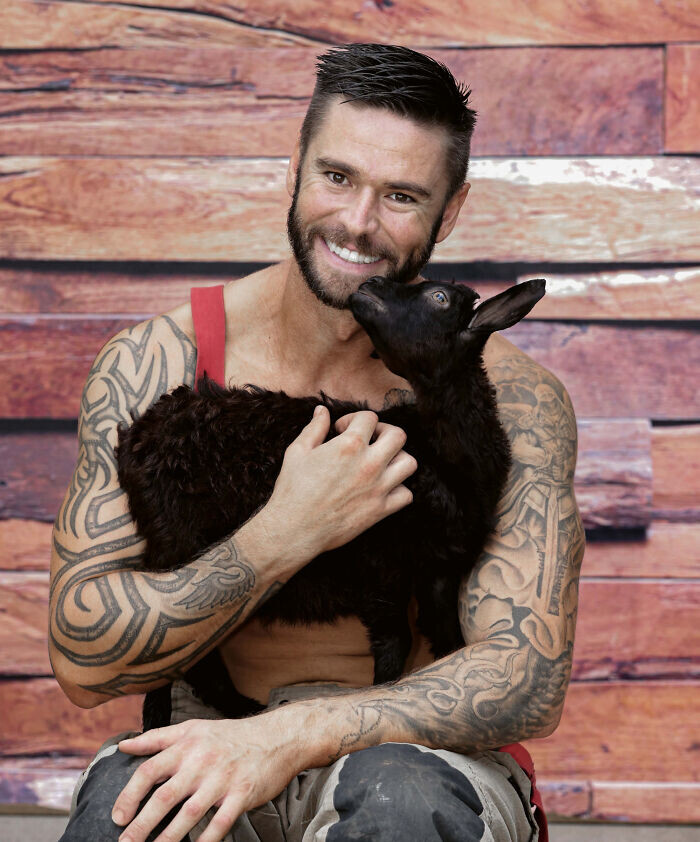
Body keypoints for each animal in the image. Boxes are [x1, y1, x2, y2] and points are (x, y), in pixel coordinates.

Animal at [115, 276, 546, 729]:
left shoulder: (439, 570)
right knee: (182, 655)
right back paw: (228, 711)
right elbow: (396, 641)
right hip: (180, 546)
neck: (447, 458)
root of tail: (138, 436)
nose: (370, 283)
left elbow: (448, 639)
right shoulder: (380, 563)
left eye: (439, 298)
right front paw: (381, 694)